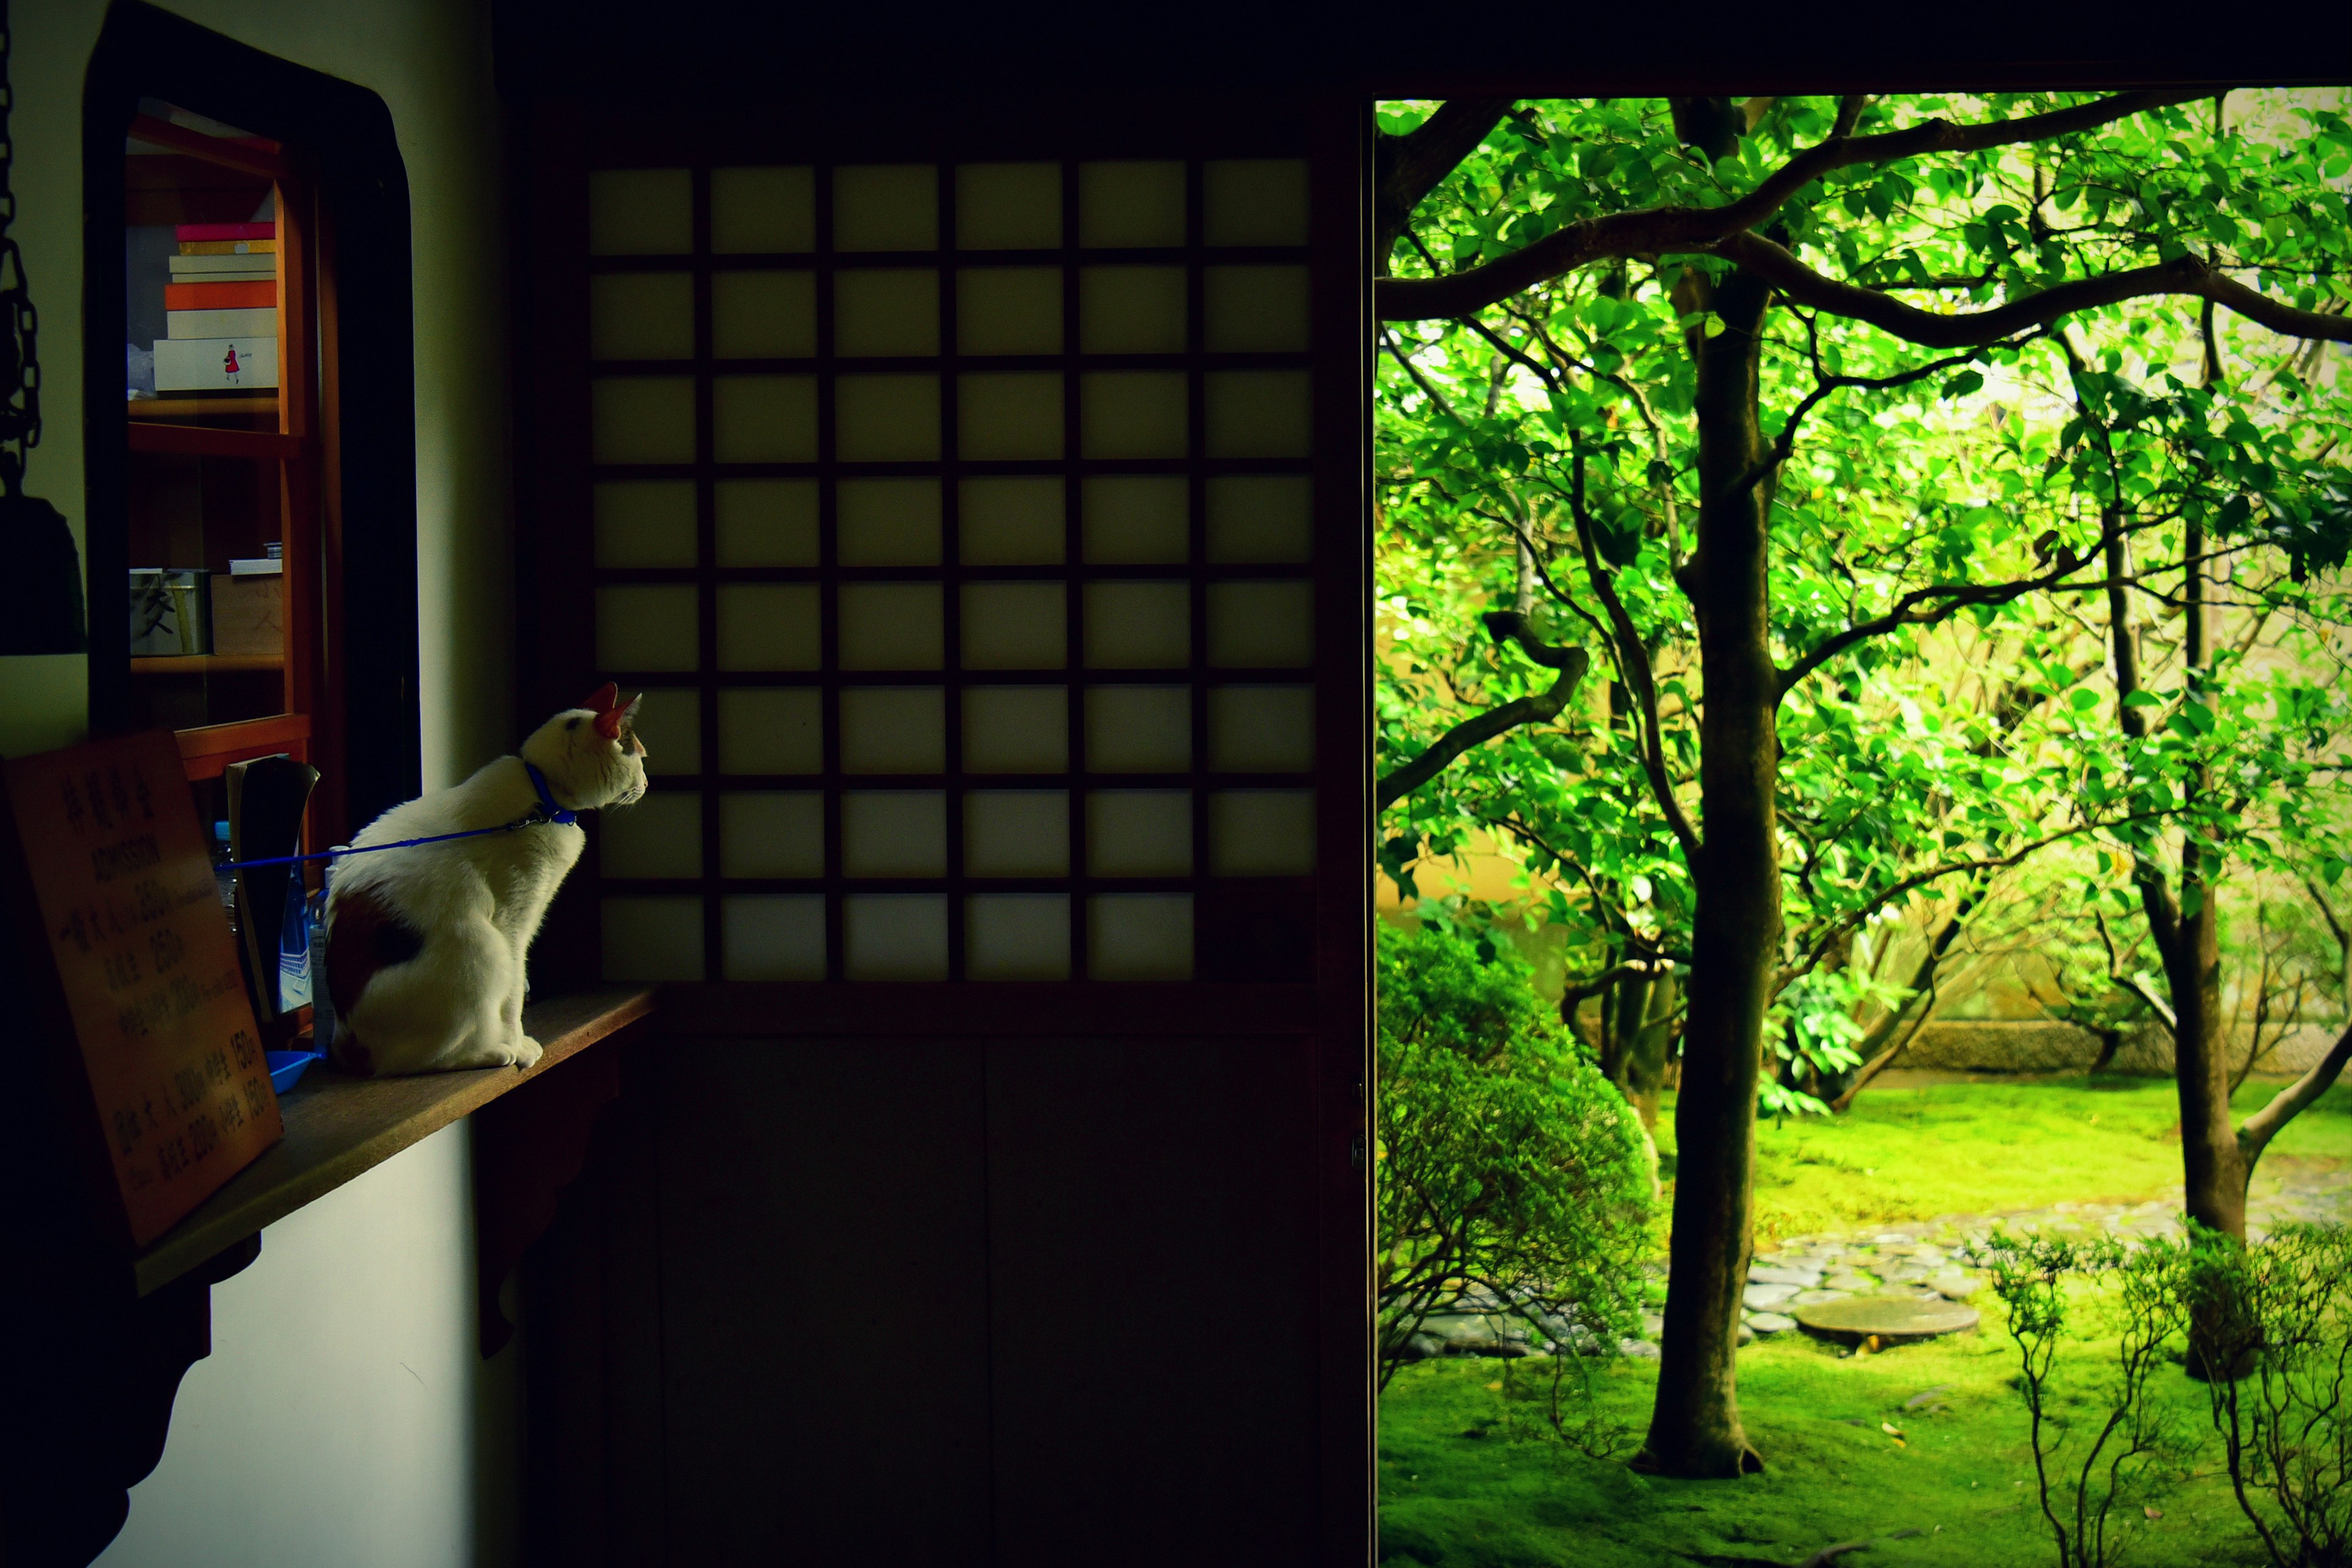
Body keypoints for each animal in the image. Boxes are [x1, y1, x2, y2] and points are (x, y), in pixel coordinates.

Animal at [322, 686, 649, 1081]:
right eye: (641, 758)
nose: (648, 783)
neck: (543, 792)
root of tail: (346, 1045)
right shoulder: (514, 920)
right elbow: (514, 993)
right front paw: (519, 1045)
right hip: (483, 950)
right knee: (407, 1063)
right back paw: (491, 1053)